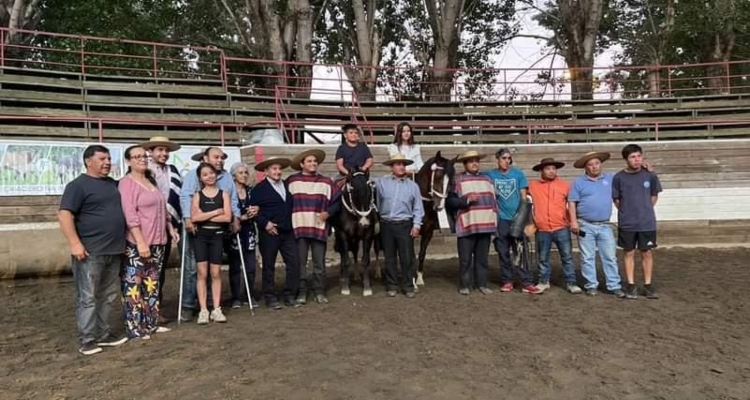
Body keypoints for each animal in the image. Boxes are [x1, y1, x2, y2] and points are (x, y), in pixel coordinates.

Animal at [414, 151, 456, 288]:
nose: (439, 207)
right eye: (437, 176)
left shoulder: (428, 233)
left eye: (451, 181)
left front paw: (419, 279)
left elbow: (422, 254)